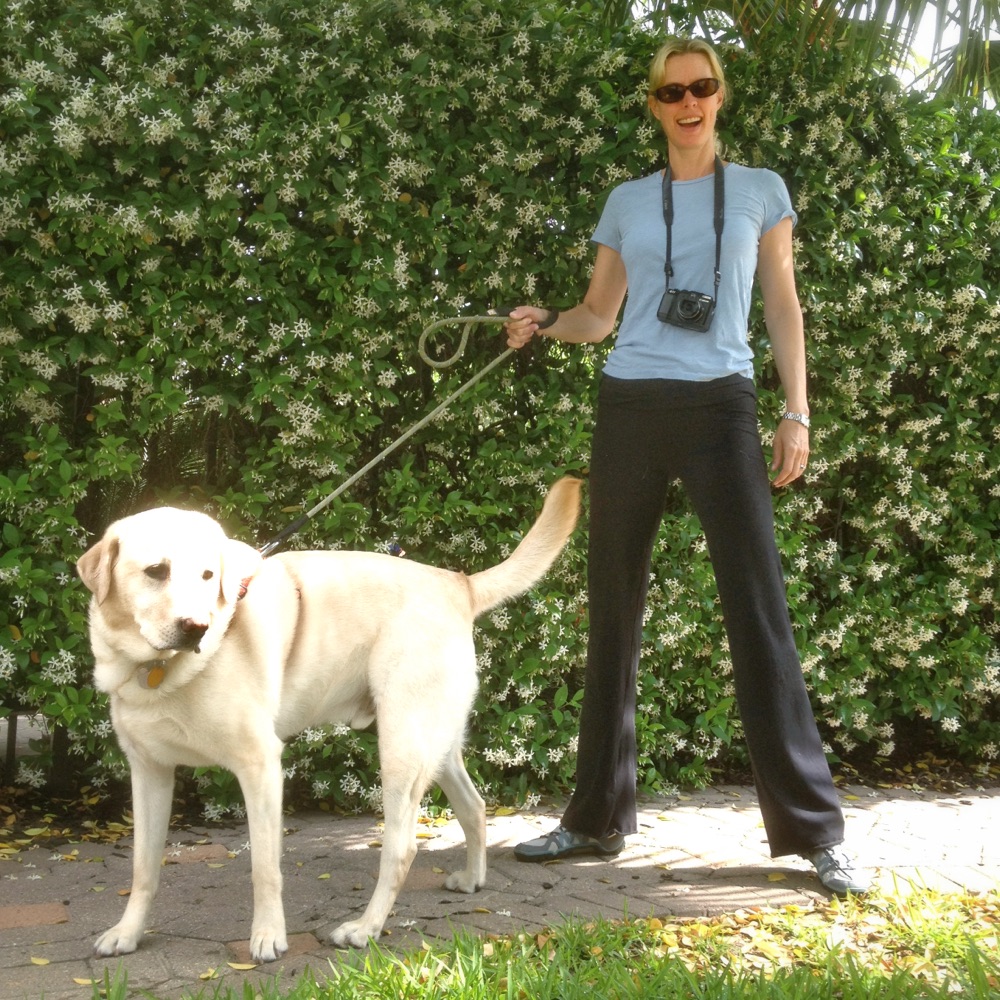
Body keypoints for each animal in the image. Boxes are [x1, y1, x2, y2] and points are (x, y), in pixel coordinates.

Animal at [78, 476, 584, 960]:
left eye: (208, 575)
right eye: (156, 572)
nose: (197, 628)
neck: (157, 671)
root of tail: (457, 582)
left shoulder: (260, 767)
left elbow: (264, 867)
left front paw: (268, 937)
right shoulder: (149, 773)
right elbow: (143, 867)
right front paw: (127, 933)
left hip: (401, 749)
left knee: (402, 847)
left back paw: (365, 929)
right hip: (434, 746)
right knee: (474, 806)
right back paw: (472, 879)